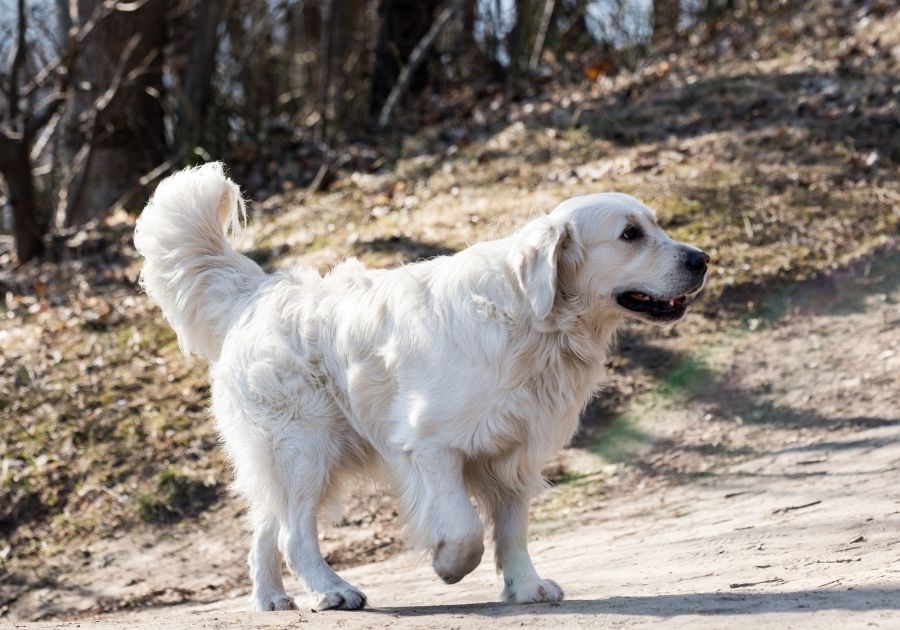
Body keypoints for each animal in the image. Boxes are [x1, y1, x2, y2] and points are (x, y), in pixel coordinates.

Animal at [134, 162, 712, 612]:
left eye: (655, 225)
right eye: (630, 234)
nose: (702, 258)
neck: (533, 318)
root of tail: (257, 290)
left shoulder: (516, 455)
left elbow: (513, 529)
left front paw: (525, 587)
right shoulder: (430, 447)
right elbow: (466, 528)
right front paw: (448, 565)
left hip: (280, 455)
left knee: (263, 528)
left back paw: (271, 598)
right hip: (303, 448)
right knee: (293, 532)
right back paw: (331, 590)